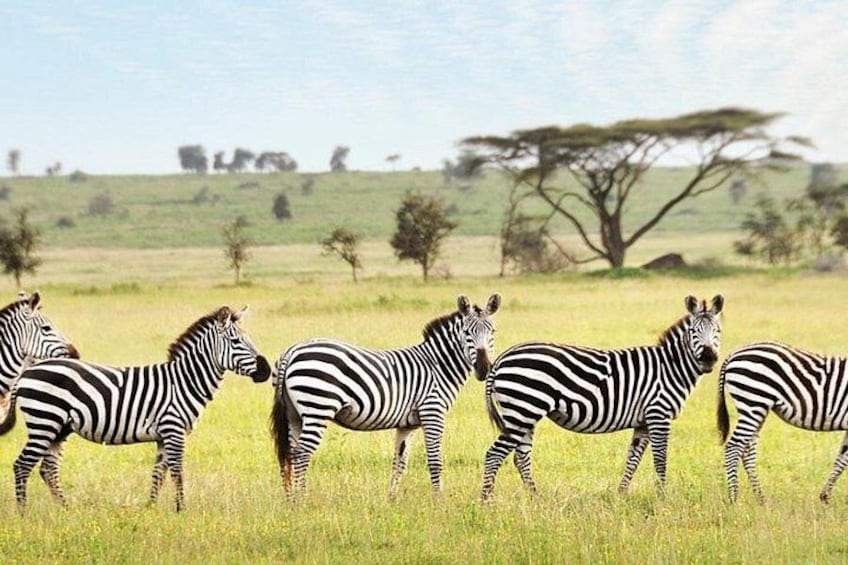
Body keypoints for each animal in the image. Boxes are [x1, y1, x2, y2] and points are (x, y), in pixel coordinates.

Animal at [0, 305, 270, 512]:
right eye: (236, 341)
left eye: (249, 340)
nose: (266, 371)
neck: (184, 381)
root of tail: (27, 372)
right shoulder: (174, 430)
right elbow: (177, 472)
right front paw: (182, 509)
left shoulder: (164, 435)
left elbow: (159, 473)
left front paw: (150, 508)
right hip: (44, 422)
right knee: (22, 465)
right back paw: (23, 513)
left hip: (59, 427)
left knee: (48, 469)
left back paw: (65, 509)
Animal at [270, 293, 500, 498]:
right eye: (467, 332)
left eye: (492, 331)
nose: (483, 369)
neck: (437, 365)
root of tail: (293, 350)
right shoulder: (432, 413)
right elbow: (435, 461)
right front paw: (438, 500)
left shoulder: (408, 425)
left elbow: (399, 463)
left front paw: (391, 499)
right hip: (317, 408)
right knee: (302, 453)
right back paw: (303, 499)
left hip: (294, 414)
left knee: (290, 453)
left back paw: (292, 501)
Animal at [481, 294, 724, 501]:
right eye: (693, 330)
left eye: (718, 331)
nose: (709, 358)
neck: (670, 367)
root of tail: (502, 357)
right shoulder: (658, 415)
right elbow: (660, 459)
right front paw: (662, 498)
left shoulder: (644, 422)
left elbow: (633, 458)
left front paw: (621, 494)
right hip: (523, 411)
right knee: (494, 454)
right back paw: (486, 501)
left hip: (525, 415)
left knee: (520, 457)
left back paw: (535, 498)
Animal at [717, 341, 848, 504]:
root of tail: (734, 354)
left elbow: (841, 460)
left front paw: (825, 496)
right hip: (754, 402)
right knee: (733, 447)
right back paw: (734, 499)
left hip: (757, 408)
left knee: (747, 451)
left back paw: (761, 499)